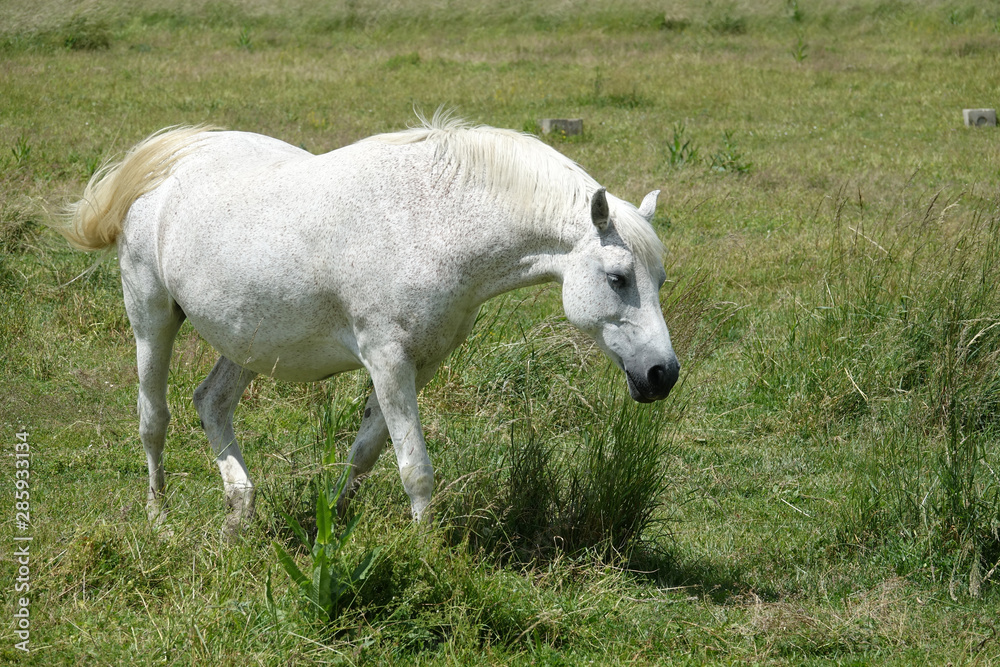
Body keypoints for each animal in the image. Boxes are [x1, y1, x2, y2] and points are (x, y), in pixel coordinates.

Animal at [56, 114, 680, 535]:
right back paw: (159, 518)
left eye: (660, 279)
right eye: (619, 278)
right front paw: (427, 557)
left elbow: (366, 453)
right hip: (151, 319)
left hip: (249, 339)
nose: (663, 374)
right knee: (153, 420)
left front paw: (332, 518)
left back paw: (239, 511)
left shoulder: (418, 366)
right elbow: (415, 468)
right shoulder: (387, 360)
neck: (431, 221)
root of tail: (172, 162)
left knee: (211, 402)